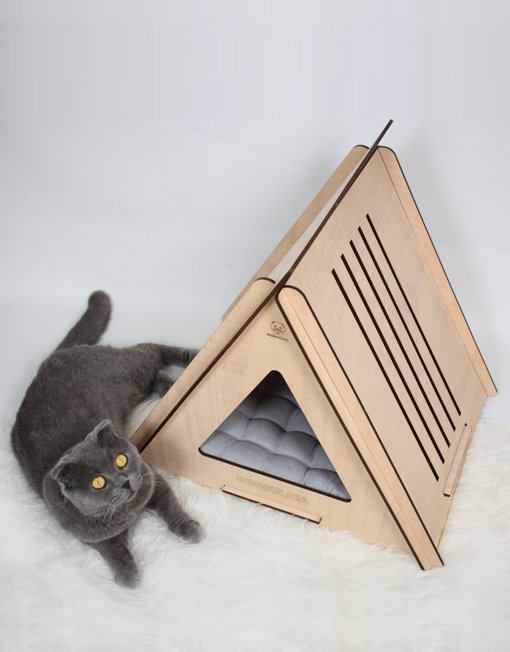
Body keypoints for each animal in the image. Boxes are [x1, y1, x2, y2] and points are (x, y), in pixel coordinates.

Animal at [11, 290, 203, 587]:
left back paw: (194, 356)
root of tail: (49, 360)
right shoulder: (90, 536)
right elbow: (111, 550)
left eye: (121, 460)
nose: (124, 481)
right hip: (134, 385)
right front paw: (128, 576)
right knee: (154, 373)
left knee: (152, 350)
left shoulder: (151, 479)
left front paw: (189, 529)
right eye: (98, 482)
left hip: (129, 369)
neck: (126, 511)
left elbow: (171, 507)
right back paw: (171, 388)